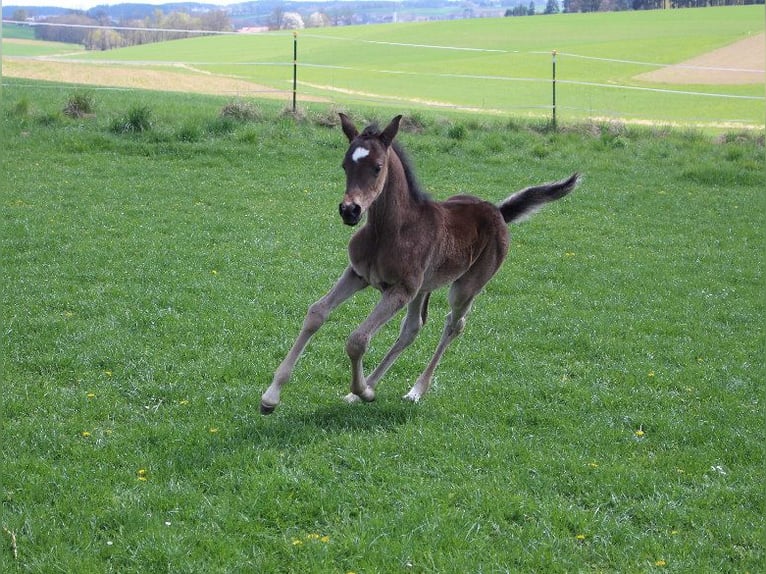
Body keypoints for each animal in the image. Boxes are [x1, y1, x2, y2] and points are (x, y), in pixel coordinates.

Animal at [260, 116, 580, 414]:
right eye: (344, 165)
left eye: (377, 167)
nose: (350, 210)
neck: (390, 231)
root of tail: (498, 212)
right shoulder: (358, 275)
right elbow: (316, 313)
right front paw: (271, 397)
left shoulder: (400, 289)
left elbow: (358, 339)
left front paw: (365, 392)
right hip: (423, 288)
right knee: (413, 327)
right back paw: (368, 388)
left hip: (465, 287)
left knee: (453, 325)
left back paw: (415, 390)